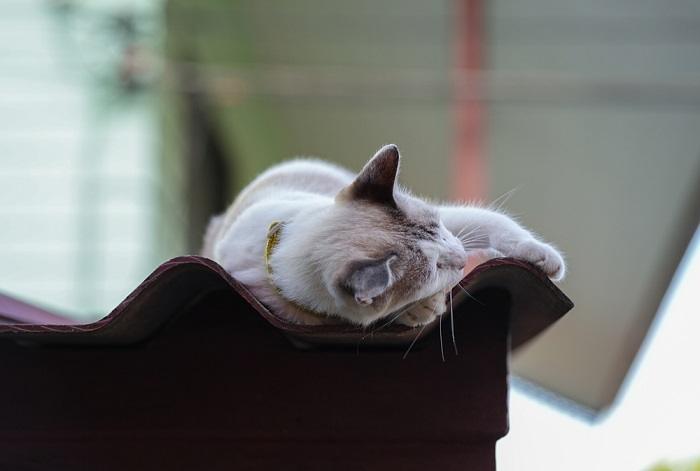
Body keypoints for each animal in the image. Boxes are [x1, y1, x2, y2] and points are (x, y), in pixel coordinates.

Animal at [201, 147, 564, 328]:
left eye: (437, 226)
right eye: (435, 269)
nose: (461, 260)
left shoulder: (454, 224)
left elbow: (498, 225)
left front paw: (547, 260)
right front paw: (422, 310)